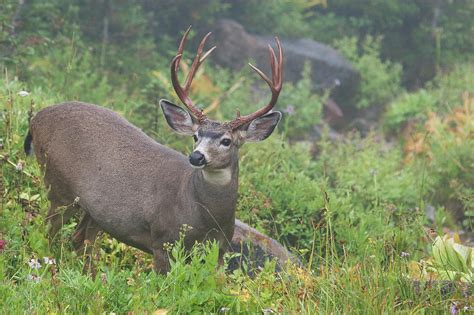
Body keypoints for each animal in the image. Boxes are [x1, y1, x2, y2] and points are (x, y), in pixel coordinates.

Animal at [25, 27, 282, 274]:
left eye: (227, 141)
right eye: (196, 136)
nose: (196, 156)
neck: (204, 215)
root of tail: (36, 119)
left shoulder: (219, 251)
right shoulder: (163, 240)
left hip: (96, 212)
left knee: (79, 240)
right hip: (59, 185)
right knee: (45, 232)